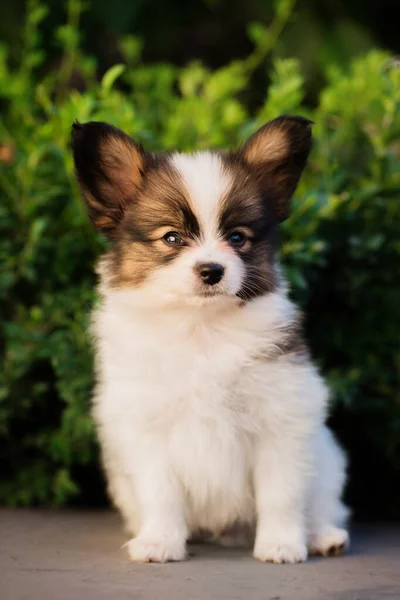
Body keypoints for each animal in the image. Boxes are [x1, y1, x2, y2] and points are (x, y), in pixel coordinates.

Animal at [72, 117, 350, 564]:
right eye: (171, 238)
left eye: (237, 238)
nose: (211, 270)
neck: (200, 326)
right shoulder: (146, 429)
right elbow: (161, 494)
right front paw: (160, 541)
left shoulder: (281, 419)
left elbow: (282, 494)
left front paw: (281, 543)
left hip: (327, 460)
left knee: (322, 504)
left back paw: (323, 536)